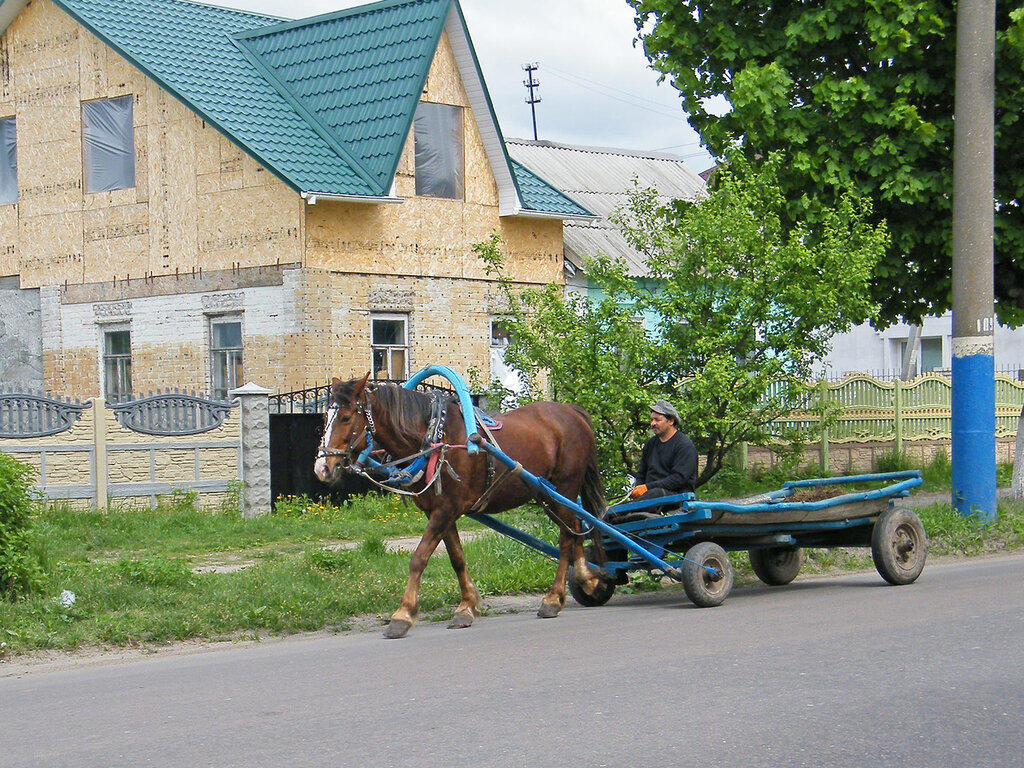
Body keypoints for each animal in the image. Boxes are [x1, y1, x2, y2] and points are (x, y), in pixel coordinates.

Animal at [311, 376, 606, 638]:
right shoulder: (439, 512)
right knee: (575, 527)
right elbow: (457, 558)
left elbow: (419, 558)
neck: (433, 435)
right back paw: (587, 577)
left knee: (567, 536)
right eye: (324, 419)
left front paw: (403, 615)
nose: (322, 468)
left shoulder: (446, 510)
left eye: (346, 417)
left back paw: (554, 598)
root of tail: (572, 411)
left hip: (563, 489)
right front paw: (467, 606)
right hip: (547, 495)